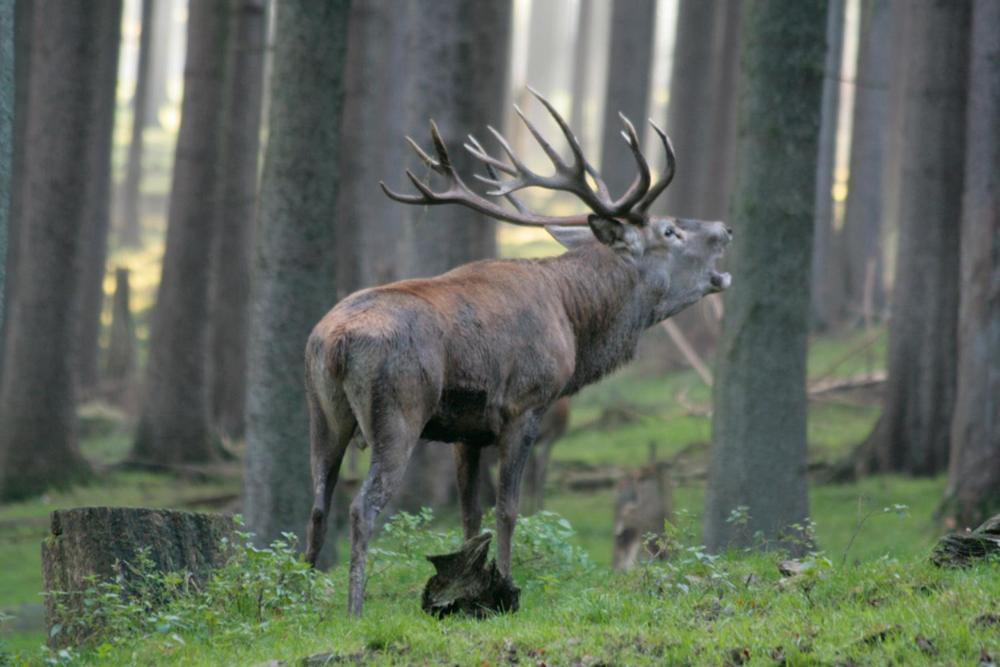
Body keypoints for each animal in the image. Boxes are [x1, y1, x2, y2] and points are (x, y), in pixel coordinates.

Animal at [300, 90, 732, 616]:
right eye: (670, 231)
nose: (725, 228)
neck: (575, 321)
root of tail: (336, 342)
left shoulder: (466, 432)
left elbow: (470, 515)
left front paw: (461, 593)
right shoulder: (525, 405)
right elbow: (508, 508)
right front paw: (505, 588)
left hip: (322, 413)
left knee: (317, 504)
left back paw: (295, 596)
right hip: (398, 410)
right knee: (363, 506)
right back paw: (354, 609)